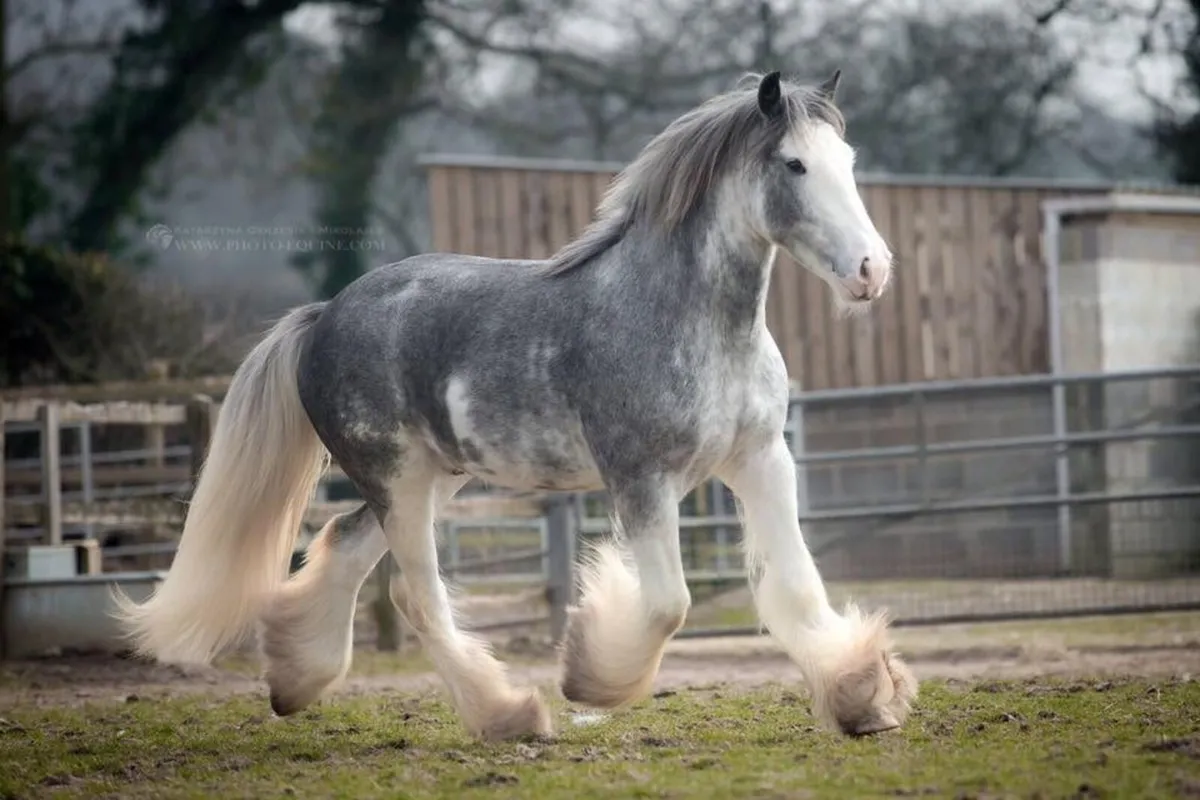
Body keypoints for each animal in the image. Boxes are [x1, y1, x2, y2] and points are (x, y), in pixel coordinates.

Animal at [112, 69, 917, 742]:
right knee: (416, 597)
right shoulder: (641, 478)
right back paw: (510, 716)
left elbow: (796, 589)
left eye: (847, 161)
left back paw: (296, 683)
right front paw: (589, 677)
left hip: (433, 478)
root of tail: (322, 316)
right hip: (400, 483)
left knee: (342, 546)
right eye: (794, 165)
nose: (872, 271)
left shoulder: (761, 460)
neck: (684, 318)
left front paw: (862, 699)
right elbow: (668, 605)